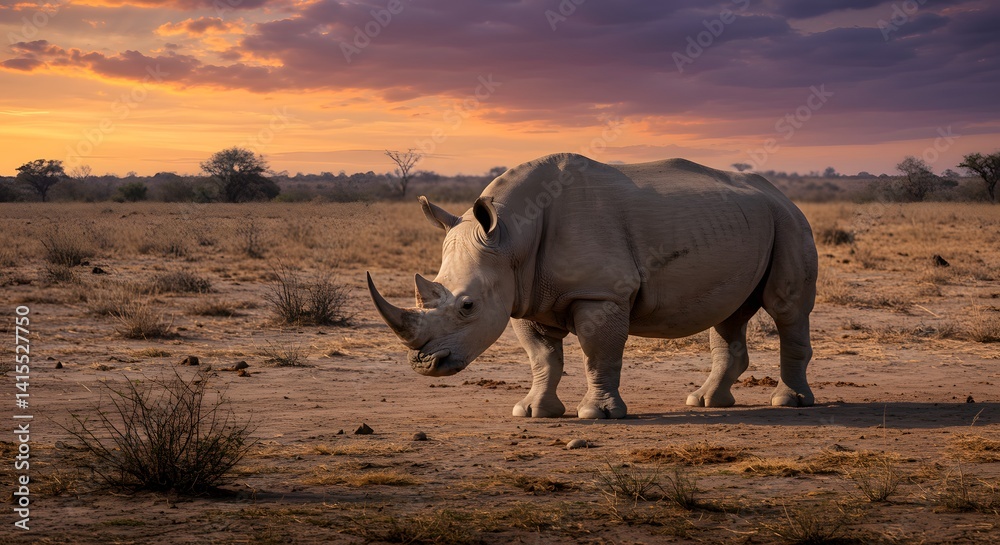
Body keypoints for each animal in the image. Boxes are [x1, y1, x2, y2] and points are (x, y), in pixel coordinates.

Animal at [367, 153, 817, 419]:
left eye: (467, 306)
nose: (424, 365)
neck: (512, 235)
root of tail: (780, 193)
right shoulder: (523, 295)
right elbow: (543, 358)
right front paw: (533, 412)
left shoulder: (601, 292)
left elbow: (599, 354)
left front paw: (597, 414)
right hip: (749, 222)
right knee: (730, 314)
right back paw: (704, 402)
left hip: (789, 221)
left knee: (787, 308)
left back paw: (790, 403)